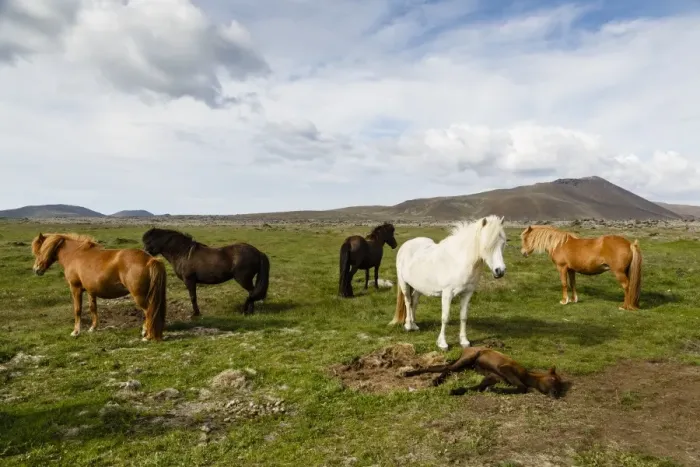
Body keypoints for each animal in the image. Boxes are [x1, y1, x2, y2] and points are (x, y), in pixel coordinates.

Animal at [31, 233, 167, 341]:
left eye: (40, 251)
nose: (36, 270)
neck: (75, 254)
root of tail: (150, 260)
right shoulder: (91, 290)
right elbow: (93, 308)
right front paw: (93, 328)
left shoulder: (75, 288)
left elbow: (77, 309)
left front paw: (75, 332)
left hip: (140, 296)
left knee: (149, 311)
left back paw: (147, 336)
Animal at [141, 227, 270, 317]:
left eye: (149, 241)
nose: (145, 254)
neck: (183, 253)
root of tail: (258, 252)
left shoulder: (189, 280)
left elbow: (193, 297)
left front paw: (195, 313)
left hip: (243, 279)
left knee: (252, 292)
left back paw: (247, 311)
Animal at [389, 215, 507, 350]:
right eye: (487, 245)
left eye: (503, 243)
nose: (500, 271)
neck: (459, 261)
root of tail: (406, 245)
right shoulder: (447, 294)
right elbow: (445, 318)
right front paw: (442, 343)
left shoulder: (467, 293)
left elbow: (463, 317)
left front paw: (464, 341)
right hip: (404, 283)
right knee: (408, 301)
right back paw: (409, 325)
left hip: (418, 286)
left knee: (414, 301)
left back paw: (414, 325)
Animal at [403, 346, 567, 398]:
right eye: (553, 379)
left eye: (561, 386)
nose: (556, 394)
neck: (525, 375)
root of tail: (466, 349)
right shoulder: (505, 368)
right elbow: (522, 388)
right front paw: (496, 390)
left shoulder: (492, 377)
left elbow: (479, 387)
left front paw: (456, 391)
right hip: (468, 359)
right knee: (448, 369)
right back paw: (435, 381)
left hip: (465, 365)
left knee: (442, 368)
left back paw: (409, 373)